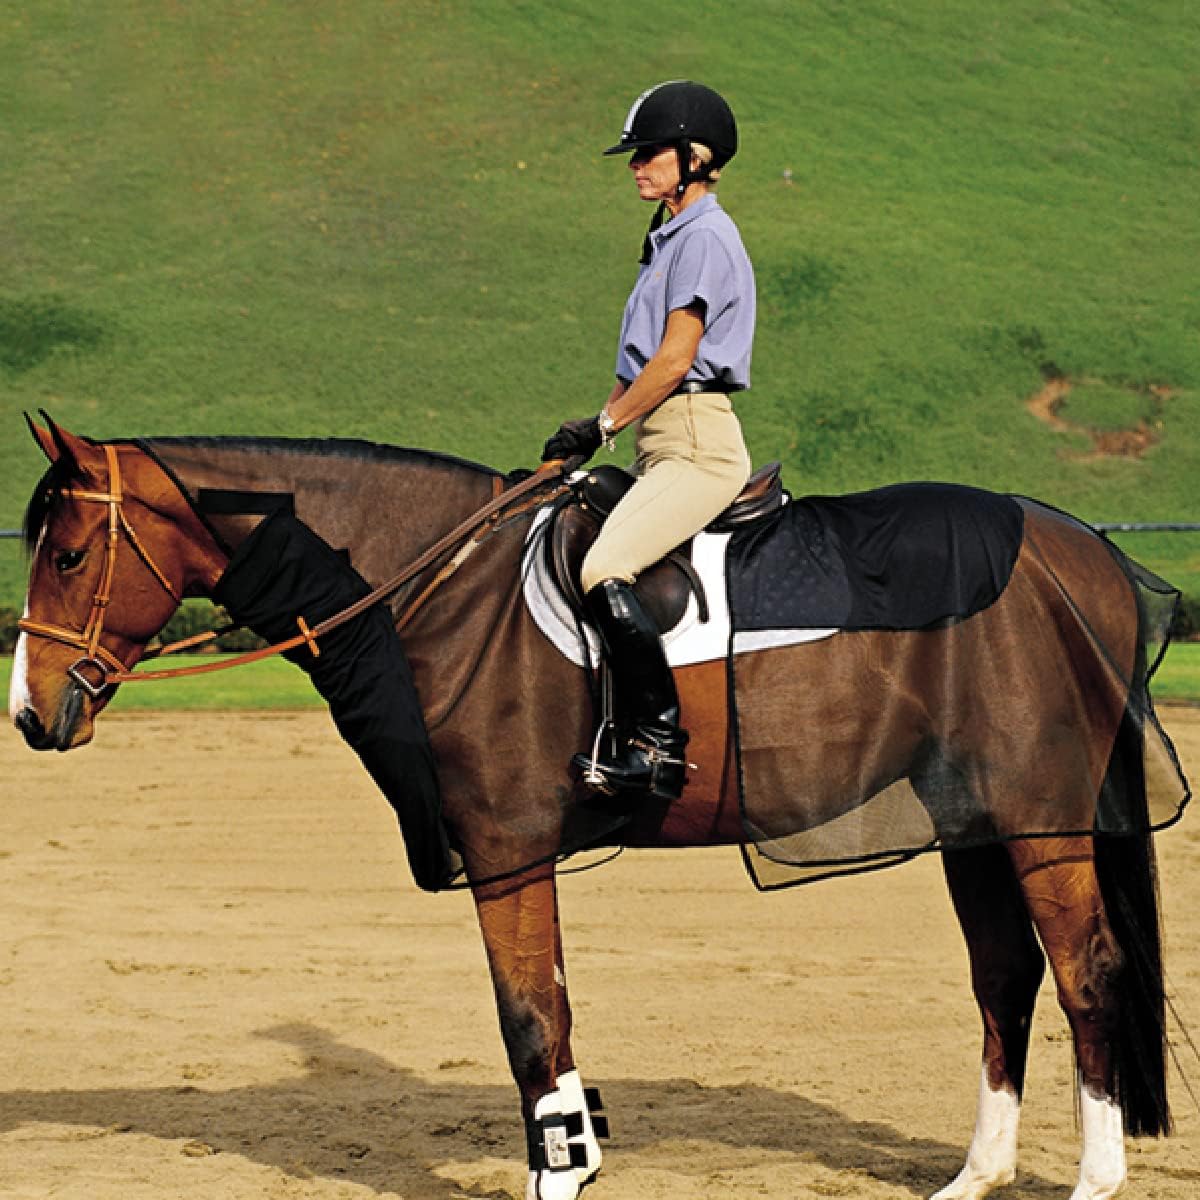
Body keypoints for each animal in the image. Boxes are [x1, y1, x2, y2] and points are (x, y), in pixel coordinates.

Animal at [8, 415, 1189, 1200]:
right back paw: (976, 1175)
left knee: (1087, 973)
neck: (440, 589)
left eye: (66, 553)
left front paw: (559, 1172)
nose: (28, 712)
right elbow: (553, 1017)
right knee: (1006, 977)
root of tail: (1081, 546)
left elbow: (531, 1019)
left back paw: (1094, 1179)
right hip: (972, 823)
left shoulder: (506, 851)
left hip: (1042, 821)